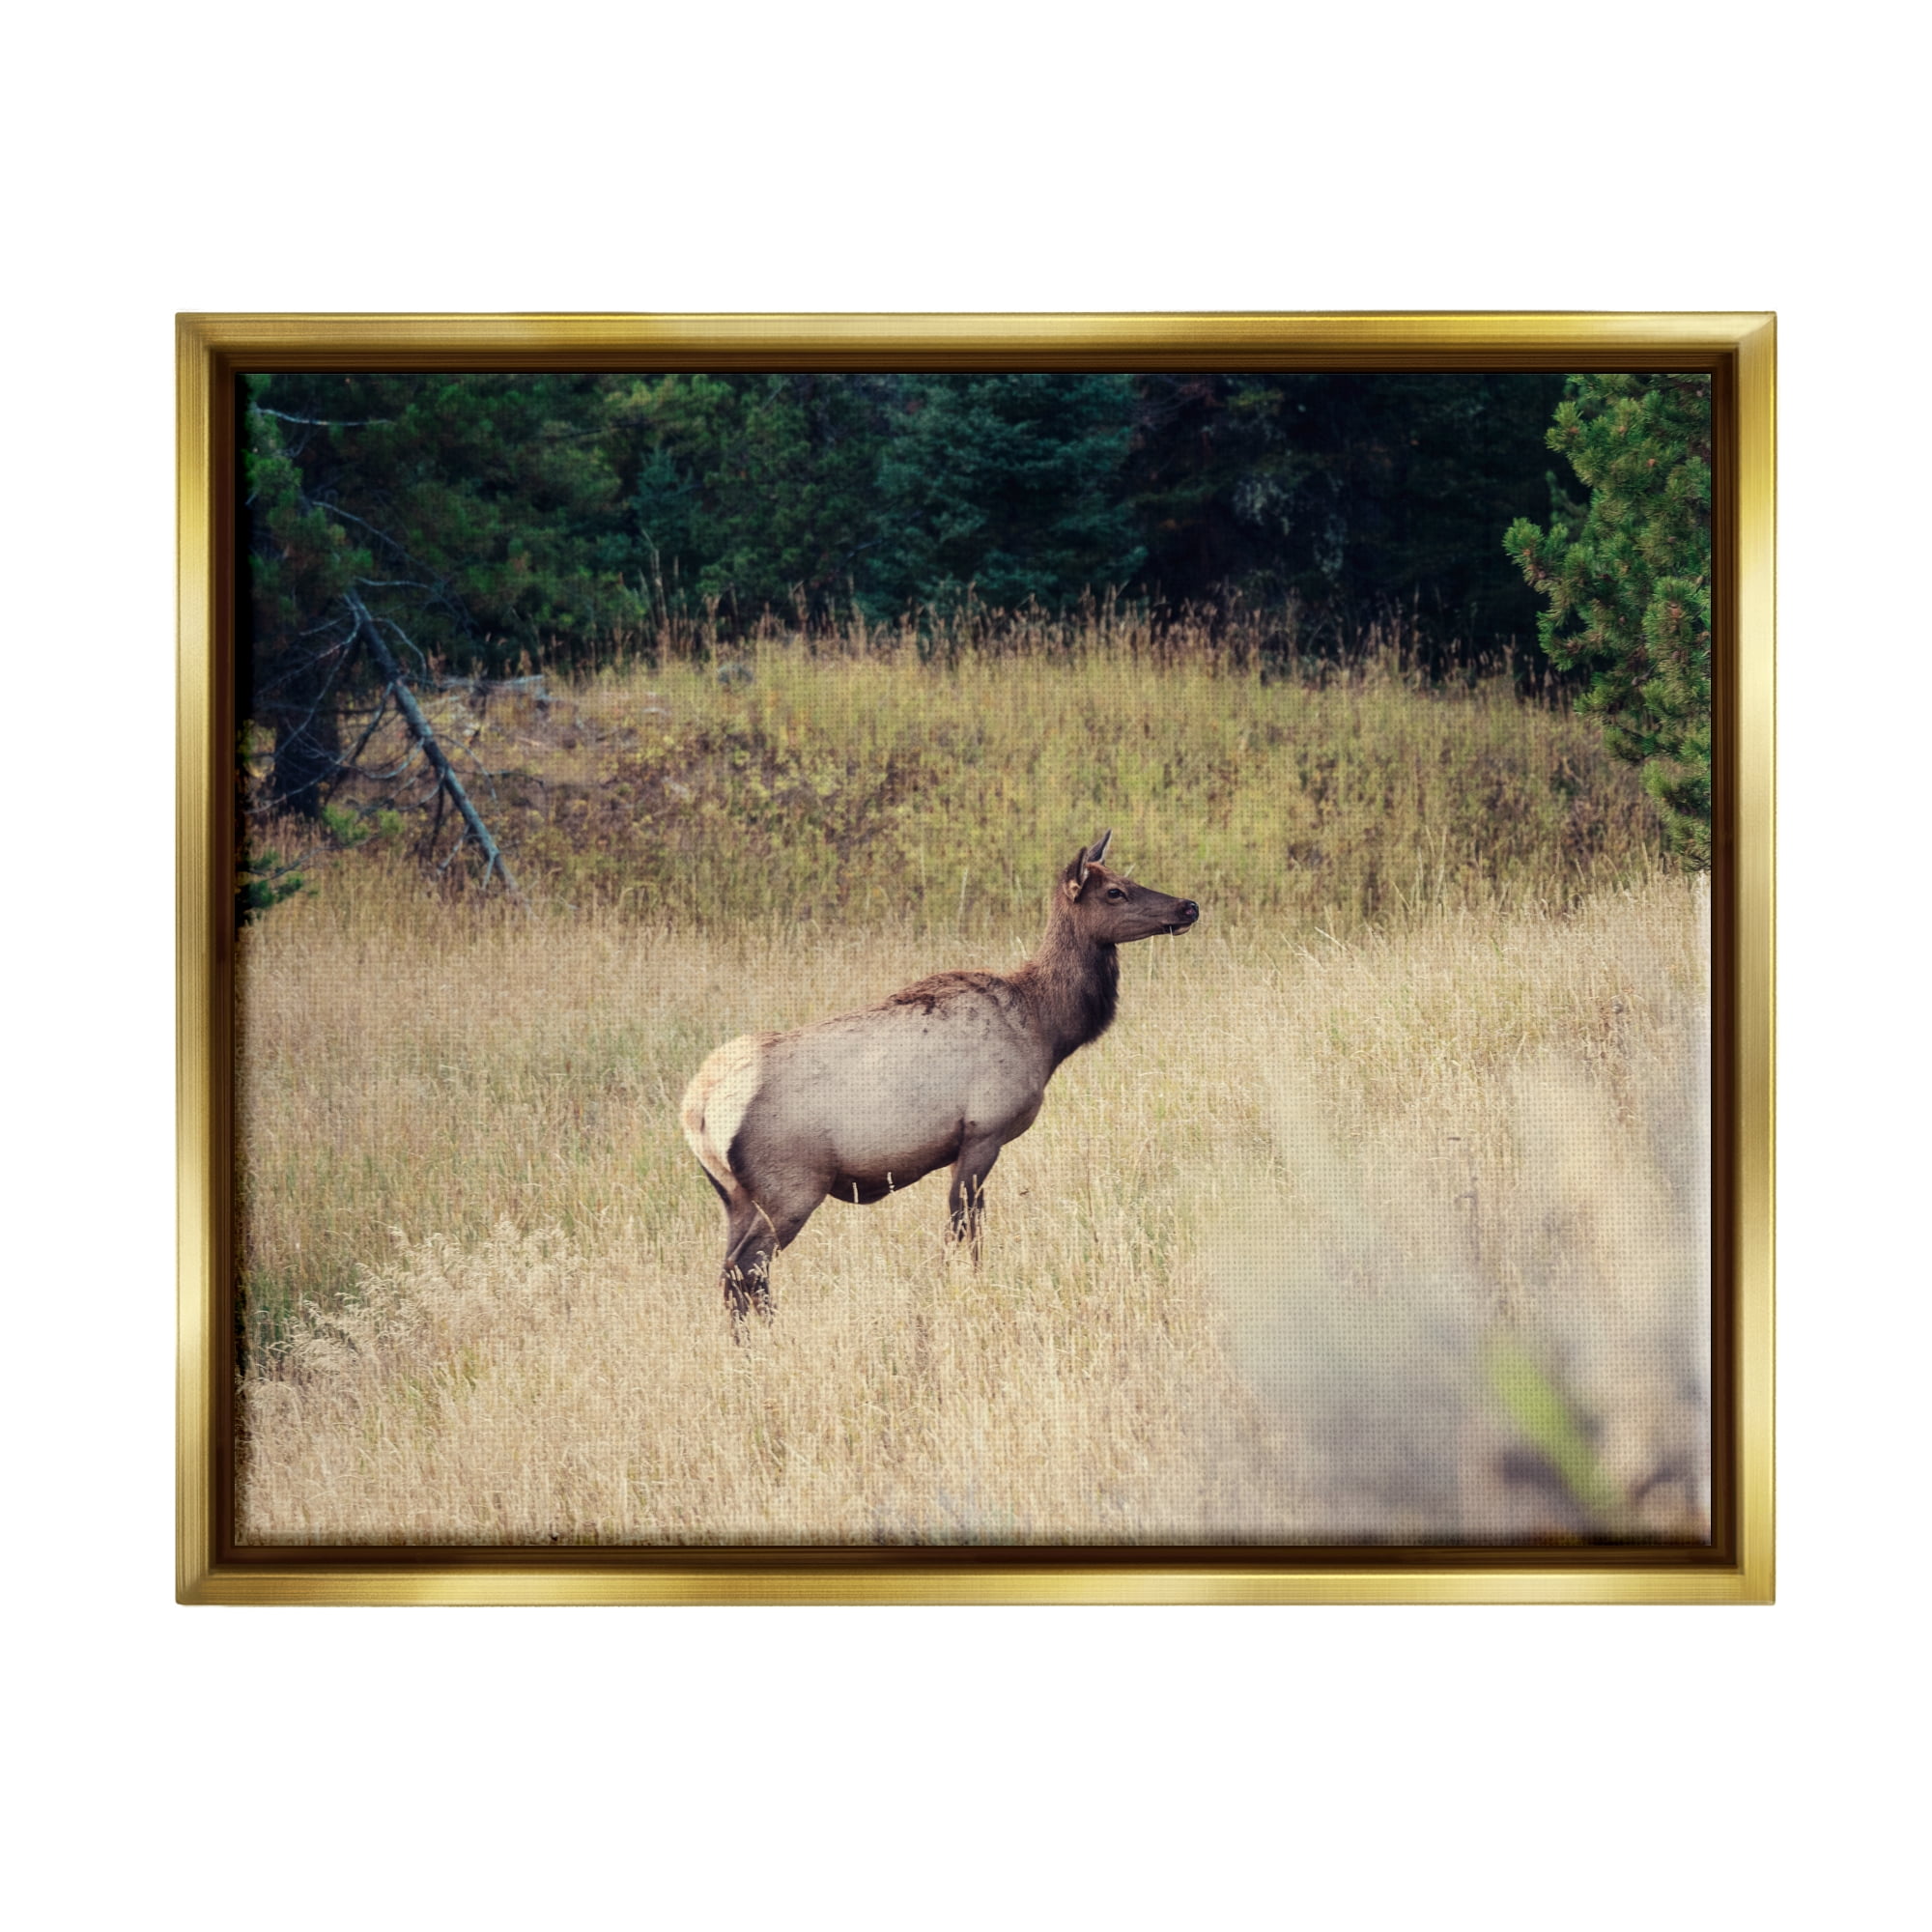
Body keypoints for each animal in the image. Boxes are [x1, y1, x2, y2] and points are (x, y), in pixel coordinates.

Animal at [679, 831, 1200, 1320]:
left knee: (730, 1272)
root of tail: (698, 1108)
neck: (1046, 1029)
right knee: (747, 1268)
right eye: (1115, 891)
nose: (1188, 906)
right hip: (791, 1187)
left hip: (735, 1196)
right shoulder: (984, 1131)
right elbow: (964, 1229)